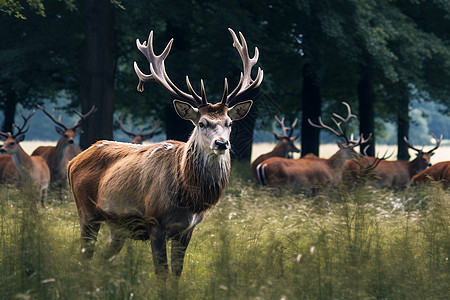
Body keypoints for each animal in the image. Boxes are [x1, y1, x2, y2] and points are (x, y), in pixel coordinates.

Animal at [67, 28, 264, 276]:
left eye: (229, 123)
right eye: (202, 123)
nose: (222, 144)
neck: (188, 198)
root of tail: (73, 161)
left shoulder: (187, 229)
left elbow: (177, 272)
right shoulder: (155, 222)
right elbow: (162, 272)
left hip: (118, 227)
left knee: (102, 258)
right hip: (86, 210)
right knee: (85, 255)